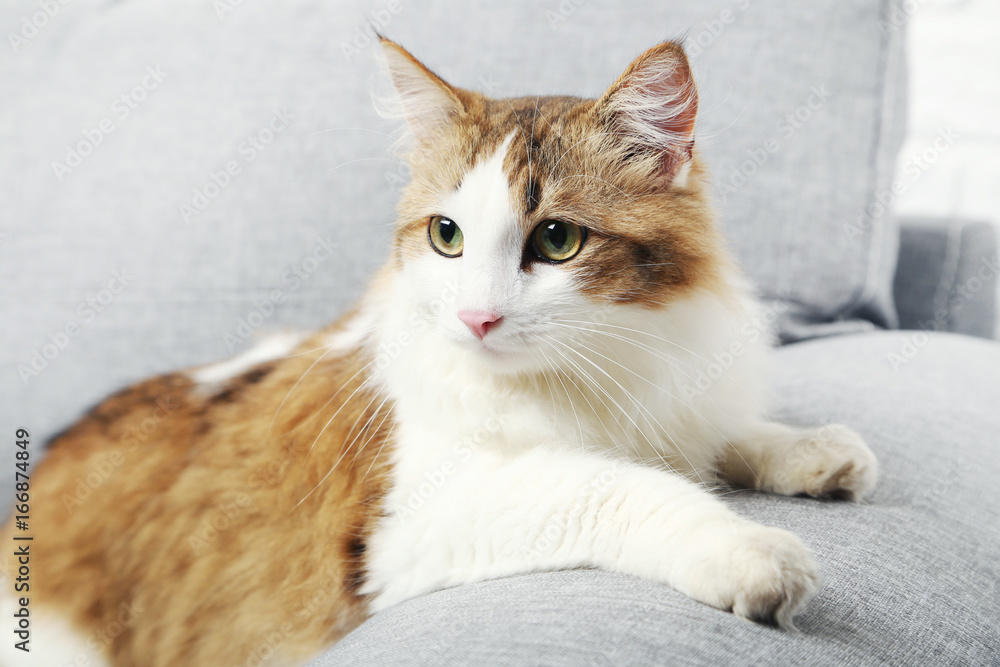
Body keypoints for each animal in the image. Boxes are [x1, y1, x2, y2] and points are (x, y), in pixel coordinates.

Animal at [0, 37, 876, 667]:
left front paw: (818, 453)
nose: (477, 318)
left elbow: (727, 435)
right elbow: (626, 489)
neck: (592, 372)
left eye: (557, 241)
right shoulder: (413, 523)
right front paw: (750, 551)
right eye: (446, 236)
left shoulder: (672, 396)